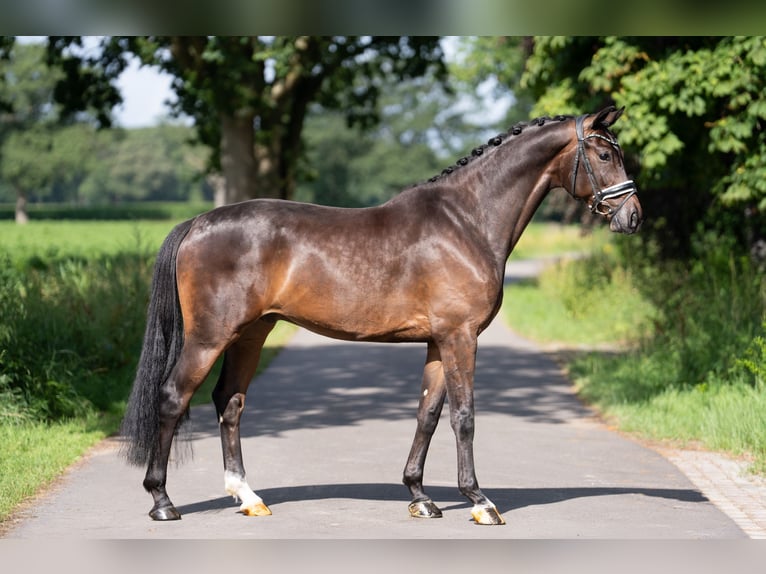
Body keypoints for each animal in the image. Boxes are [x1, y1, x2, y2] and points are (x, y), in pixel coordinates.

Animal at [121, 106, 642, 526]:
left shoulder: (437, 341)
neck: (466, 221)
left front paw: (420, 497)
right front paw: (479, 501)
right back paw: (162, 502)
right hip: (209, 336)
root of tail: (198, 223)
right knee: (172, 398)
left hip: (251, 333)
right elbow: (464, 416)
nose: (633, 217)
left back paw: (248, 497)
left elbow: (428, 414)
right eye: (603, 155)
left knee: (229, 402)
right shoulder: (461, 337)